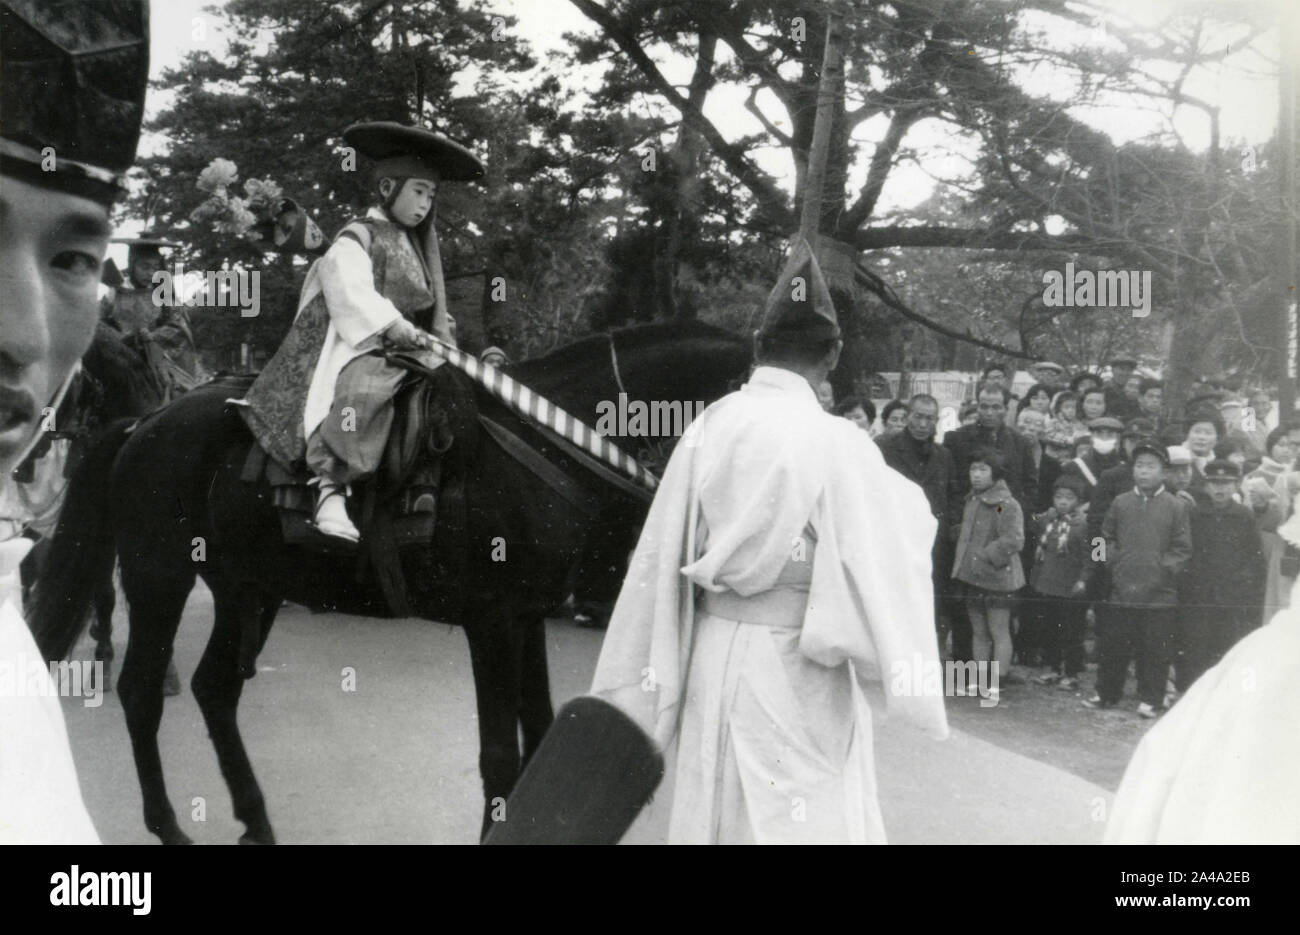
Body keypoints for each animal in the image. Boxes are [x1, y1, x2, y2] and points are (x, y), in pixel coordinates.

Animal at [32, 318, 754, 842]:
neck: (546, 447)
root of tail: (145, 424)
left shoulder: (525, 617)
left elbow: (541, 729)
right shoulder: (492, 622)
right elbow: (498, 752)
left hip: (247, 589)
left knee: (215, 689)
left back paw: (256, 821)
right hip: (160, 577)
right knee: (142, 692)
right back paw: (170, 825)